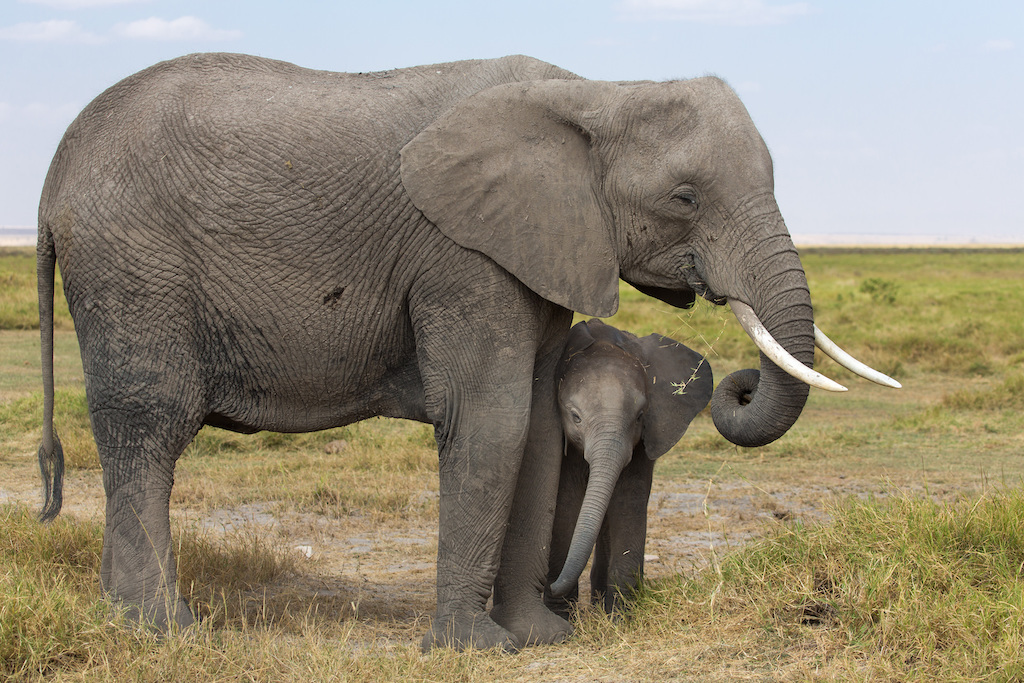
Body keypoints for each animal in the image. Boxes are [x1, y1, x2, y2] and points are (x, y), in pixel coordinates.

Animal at [544, 319, 713, 617]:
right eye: (575, 417)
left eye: (640, 416)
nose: (550, 586)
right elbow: (565, 502)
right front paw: (560, 615)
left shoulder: (644, 443)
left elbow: (628, 502)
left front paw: (621, 618)